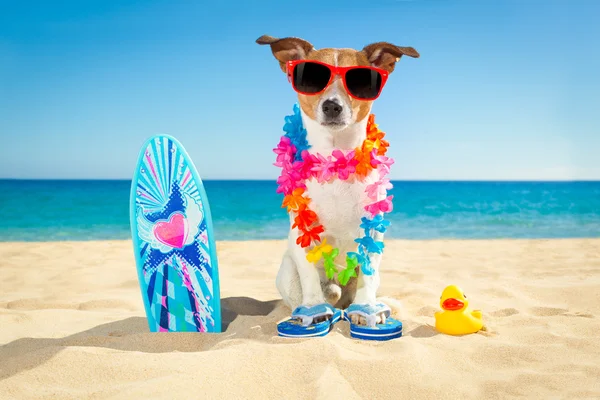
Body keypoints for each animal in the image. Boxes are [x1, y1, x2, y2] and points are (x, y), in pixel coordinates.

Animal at [255, 34, 420, 326]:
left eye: (360, 81)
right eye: (312, 77)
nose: (332, 105)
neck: (335, 161)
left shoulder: (373, 230)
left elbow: (368, 277)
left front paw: (367, 308)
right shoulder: (302, 232)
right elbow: (309, 275)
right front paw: (313, 308)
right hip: (287, 272)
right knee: (314, 293)